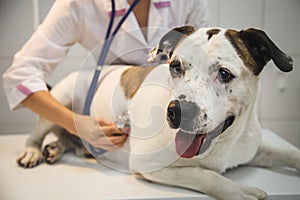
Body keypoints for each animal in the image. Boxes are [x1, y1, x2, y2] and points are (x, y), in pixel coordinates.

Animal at [17, 26, 298, 200]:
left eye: (224, 74)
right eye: (175, 66)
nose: (178, 111)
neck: (222, 142)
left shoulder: (254, 147)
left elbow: (289, 153)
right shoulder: (149, 165)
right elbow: (202, 174)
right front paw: (239, 191)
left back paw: (57, 148)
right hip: (60, 99)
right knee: (39, 130)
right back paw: (33, 151)